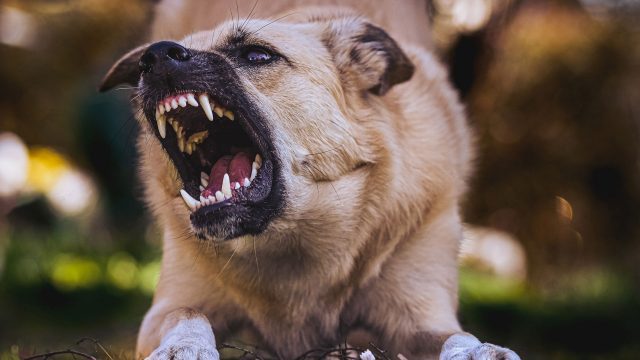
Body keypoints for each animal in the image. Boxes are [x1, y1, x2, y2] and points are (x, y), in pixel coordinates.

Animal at [99, 2, 520, 360]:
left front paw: (481, 350)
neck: (293, 241)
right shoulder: (168, 307)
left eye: (257, 55)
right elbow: (187, 314)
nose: (154, 57)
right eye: (145, 62)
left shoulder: (420, 317)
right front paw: (182, 347)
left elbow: (457, 335)